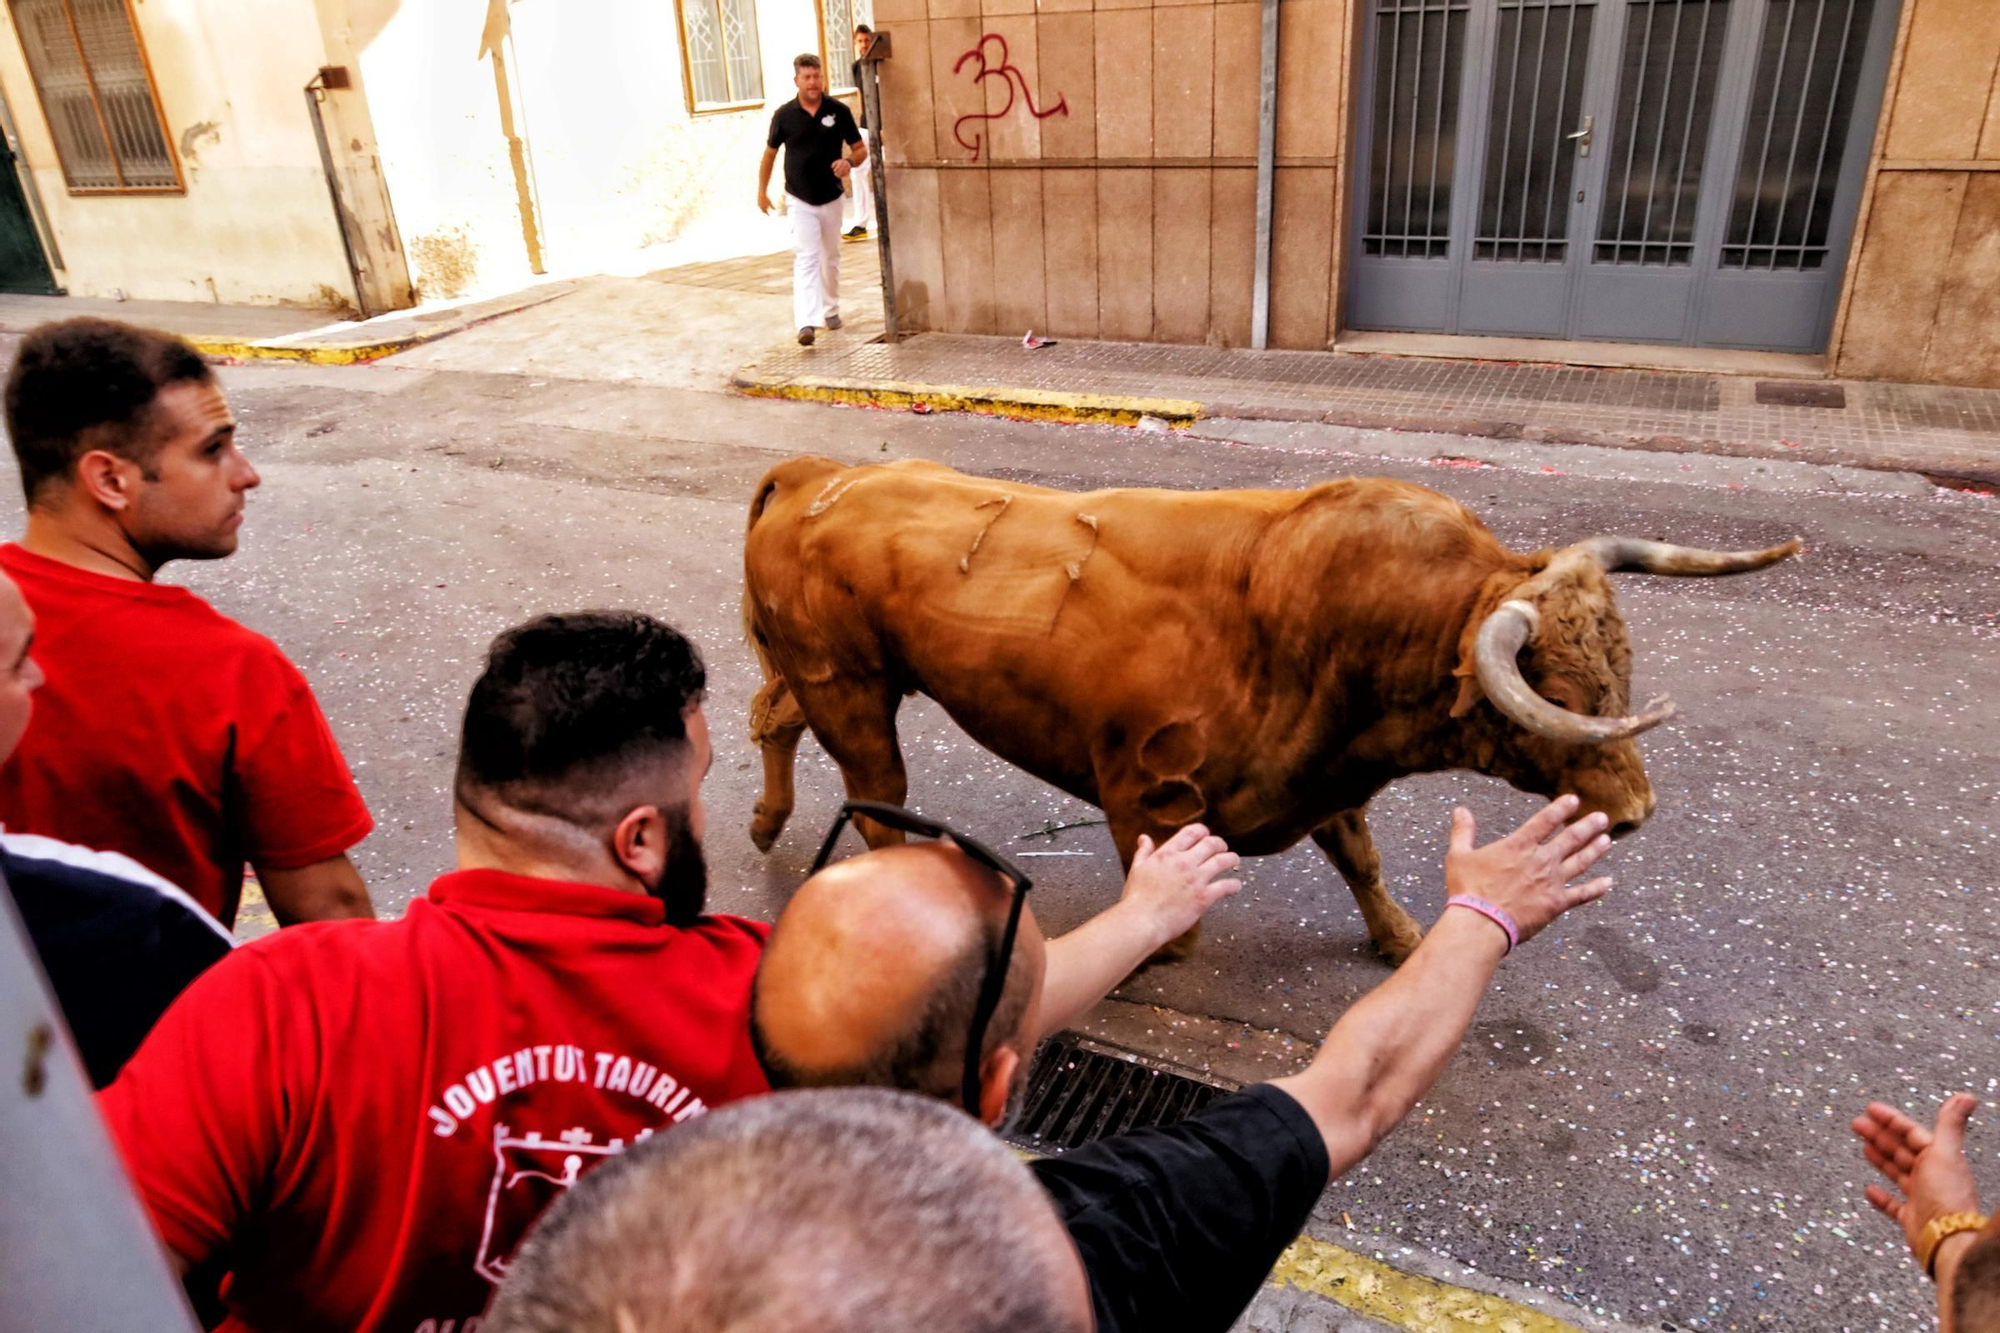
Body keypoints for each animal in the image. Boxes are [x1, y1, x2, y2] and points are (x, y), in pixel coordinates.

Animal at [744, 454, 1808, 956]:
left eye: (1622, 664)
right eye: (1553, 691)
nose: (1635, 812)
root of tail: (819, 475)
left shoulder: (1327, 778)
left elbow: (1360, 858)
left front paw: (1401, 939)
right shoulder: (1143, 789)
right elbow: (1165, 906)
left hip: (829, 675)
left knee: (769, 717)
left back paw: (763, 824)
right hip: (852, 688)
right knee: (876, 791)